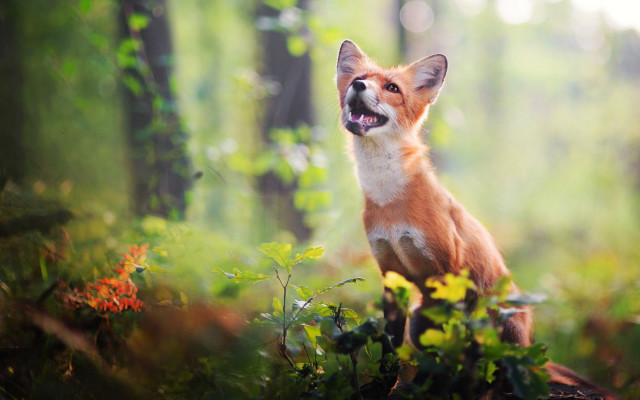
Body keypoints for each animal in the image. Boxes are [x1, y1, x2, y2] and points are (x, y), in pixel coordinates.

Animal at [336, 39, 616, 399]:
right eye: (358, 78)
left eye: (392, 88)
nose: (358, 86)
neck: (390, 202)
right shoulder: (391, 275)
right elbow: (390, 346)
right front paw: (385, 386)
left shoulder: (447, 271)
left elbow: (449, 343)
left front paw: (433, 386)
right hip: (419, 318)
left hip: (494, 319)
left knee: (498, 368)